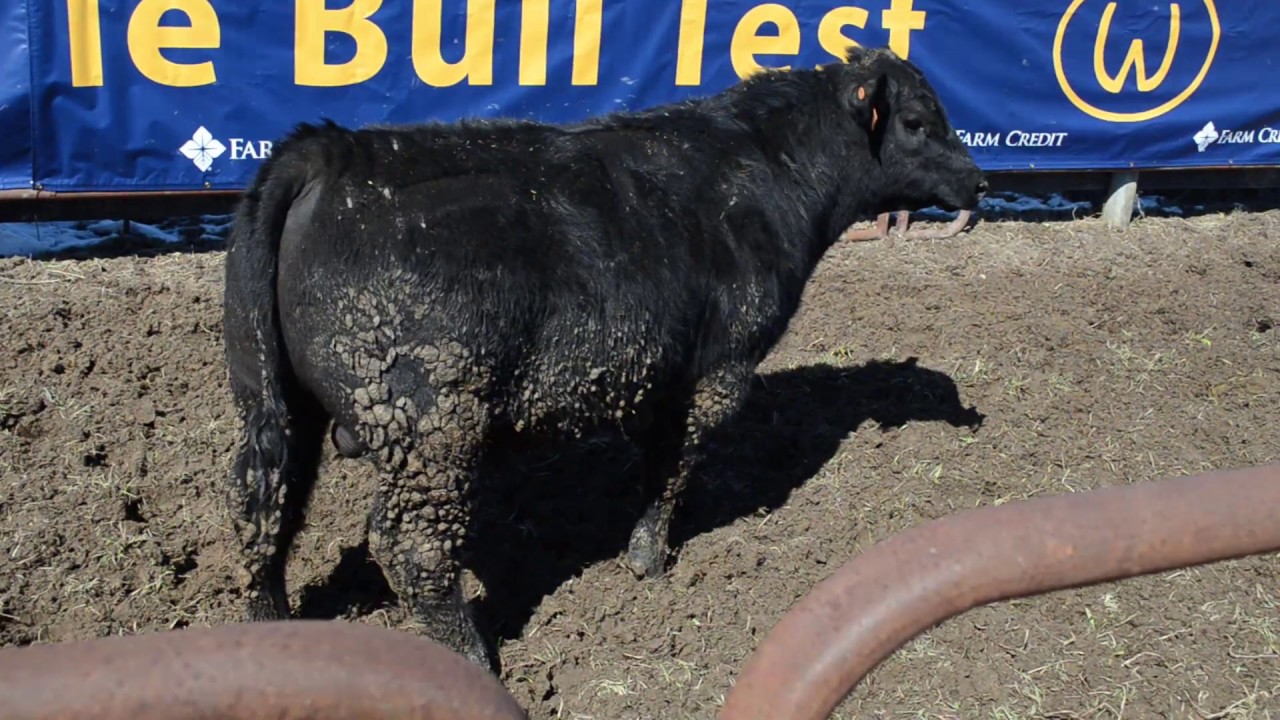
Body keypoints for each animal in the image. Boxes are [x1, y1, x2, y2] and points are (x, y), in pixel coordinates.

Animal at [221, 44, 987, 670]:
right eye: (916, 120)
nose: (979, 181)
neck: (764, 172)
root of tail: (334, 150)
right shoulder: (717, 371)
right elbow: (675, 467)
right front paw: (650, 561)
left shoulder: (659, 376)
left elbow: (656, 462)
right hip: (433, 426)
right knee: (409, 544)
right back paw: (470, 656)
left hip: (277, 404)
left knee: (262, 508)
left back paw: (272, 631)